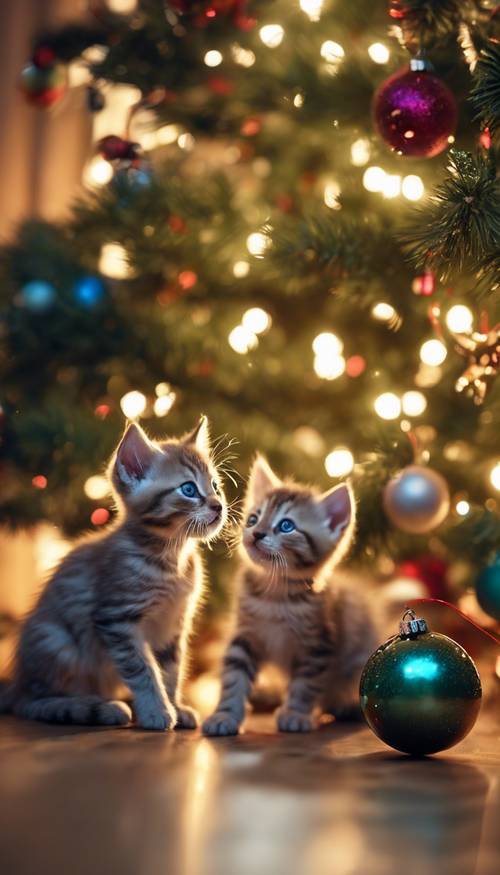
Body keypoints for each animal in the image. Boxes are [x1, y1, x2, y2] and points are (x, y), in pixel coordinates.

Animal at [0, 418, 227, 732]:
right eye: (189, 490)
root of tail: (17, 682)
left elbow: (171, 669)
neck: (171, 560)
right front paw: (156, 711)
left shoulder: (174, 624)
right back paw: (96, 707)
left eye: (215, 485)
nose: (219, 505)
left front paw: (175, 706)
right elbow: (143, 669)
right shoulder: (116, 618)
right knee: (31, 703)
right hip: (58, 642)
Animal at [203, 458, 378, 740]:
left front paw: (296, 713)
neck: (274, 595)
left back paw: (344, 705)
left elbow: (305, 684)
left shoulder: (318, 644)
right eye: (253, 519)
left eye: (286, 526)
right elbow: (234, 678)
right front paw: (225, 715)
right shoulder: (245, 636)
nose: (256, 533)